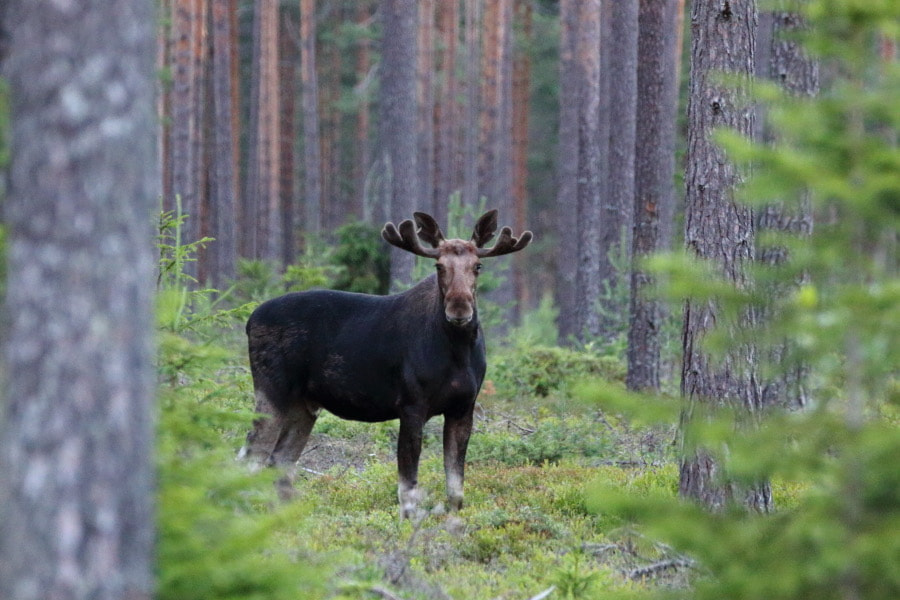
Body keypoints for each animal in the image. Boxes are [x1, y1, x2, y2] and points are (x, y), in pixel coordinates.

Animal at [239, 210, 532, 518]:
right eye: (439, 266)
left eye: (478, 266)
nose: (459, 309)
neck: (458, 352)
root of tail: (250, 320)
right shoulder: (412, 405)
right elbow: (408, 486)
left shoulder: (463, 408)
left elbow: (455, 489)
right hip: (272, 391)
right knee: (249, 459)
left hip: (304, 405)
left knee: (280, 461)